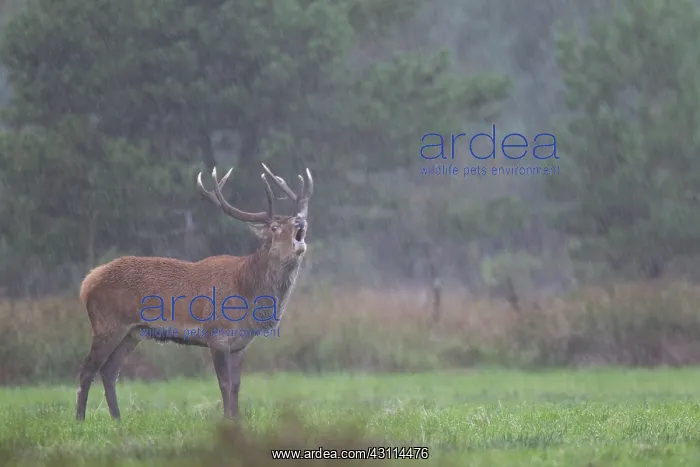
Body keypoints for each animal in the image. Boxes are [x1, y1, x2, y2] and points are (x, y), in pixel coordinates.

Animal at [75, 163, 313, 421]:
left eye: (297, 219)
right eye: (274, 227)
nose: (300, 222)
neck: (247, 292)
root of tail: (87, 283)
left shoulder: (240, 344)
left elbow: (237, 385)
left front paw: (237, 419)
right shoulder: (216, 334)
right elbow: (224, 384)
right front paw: (227, 420)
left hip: (132, 332)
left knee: (109, 371)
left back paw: (118, 420)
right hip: (107, 324)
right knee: (88, 369)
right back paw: (80, 420)